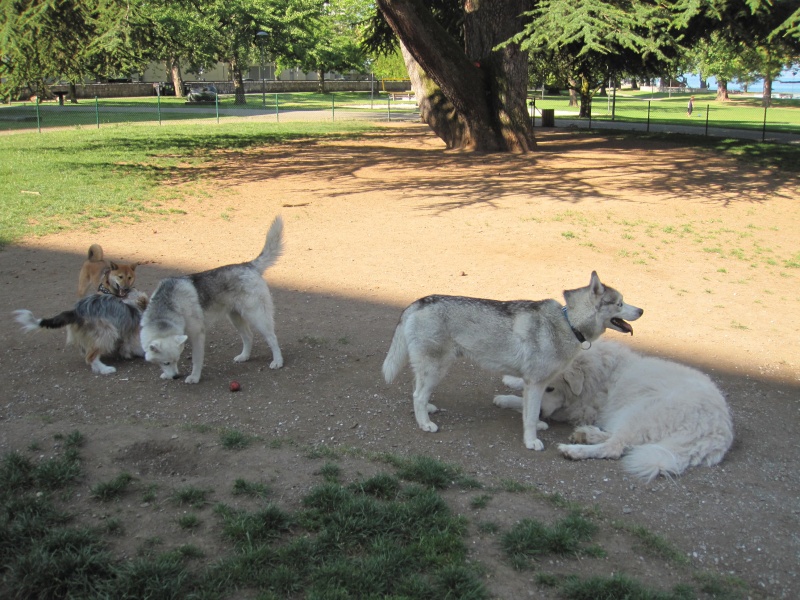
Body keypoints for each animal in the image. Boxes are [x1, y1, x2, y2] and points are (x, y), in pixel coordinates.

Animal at [496, 340, 736, 480]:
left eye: (551, 388)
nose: (542, 415)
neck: (600, 372)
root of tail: (717, 432)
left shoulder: (575, 409)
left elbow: (527, 404)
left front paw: (515, 403)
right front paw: (510, 384)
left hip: (641, 412)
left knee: (614, 447)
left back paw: (574, 450)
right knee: (618, 439)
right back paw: (586, 434)